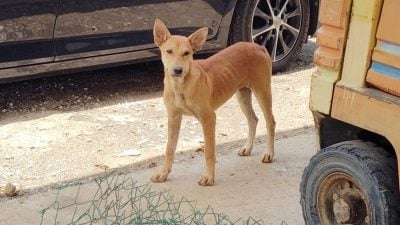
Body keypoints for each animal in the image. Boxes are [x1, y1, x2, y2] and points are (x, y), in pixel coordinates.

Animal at [150, 19, 276, 185]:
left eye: (187, 53)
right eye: (169, 51)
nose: (178, 70)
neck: (180, 86)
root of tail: (258, 46)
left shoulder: (208, 118)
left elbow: (209, 151)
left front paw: (209, 177)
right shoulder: (173, 117)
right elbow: (169, 149)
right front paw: (163, 173)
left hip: (262, 91)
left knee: (270, 122)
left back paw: (269, 153)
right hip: (242, 95)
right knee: (253, 120)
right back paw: (247, 148)